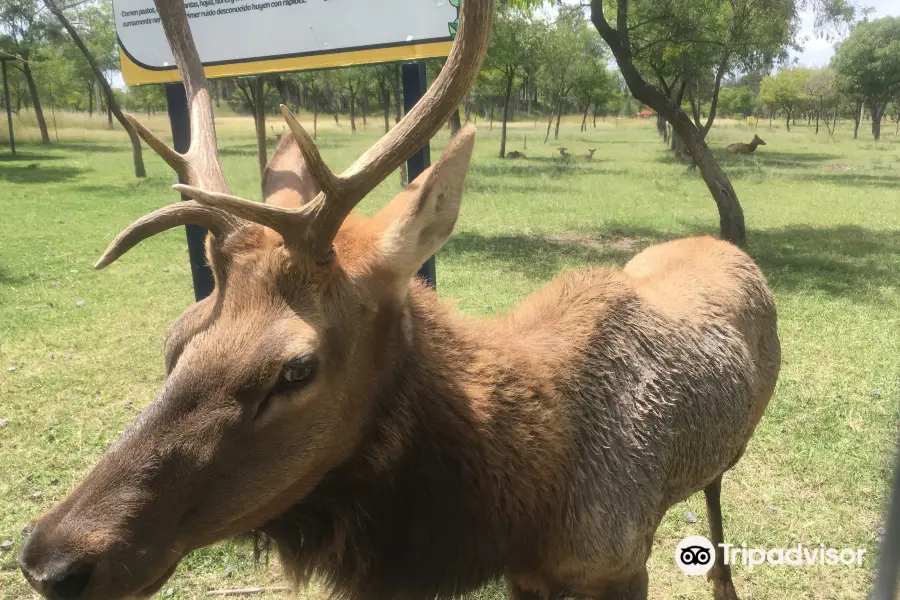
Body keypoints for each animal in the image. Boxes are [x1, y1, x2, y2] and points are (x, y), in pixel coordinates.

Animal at [19, 1, 780, 600]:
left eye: (296, 369)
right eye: (175, 338)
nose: (52, 559)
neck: (528, 503)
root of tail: (730, 246)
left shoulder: (619, 559)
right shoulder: (527, 576)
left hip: (736, 443)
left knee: (716, 490)